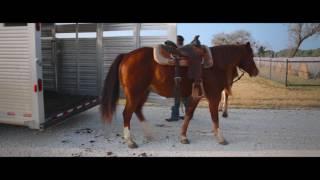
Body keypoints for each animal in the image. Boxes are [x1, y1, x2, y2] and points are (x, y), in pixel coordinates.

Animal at [101, 40, 258, 148]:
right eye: (251, 55)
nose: (256, 72)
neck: (216, 63)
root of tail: (126, 55)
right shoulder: (214, 97)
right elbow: (215, 118)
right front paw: (221, 138)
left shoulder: (196, 96)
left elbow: (188, 115)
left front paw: (183, 137)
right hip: (135, 93)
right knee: (127, 113)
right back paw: (130, 141)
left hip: (143, 92)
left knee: (137, 110)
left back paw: (149, 134)